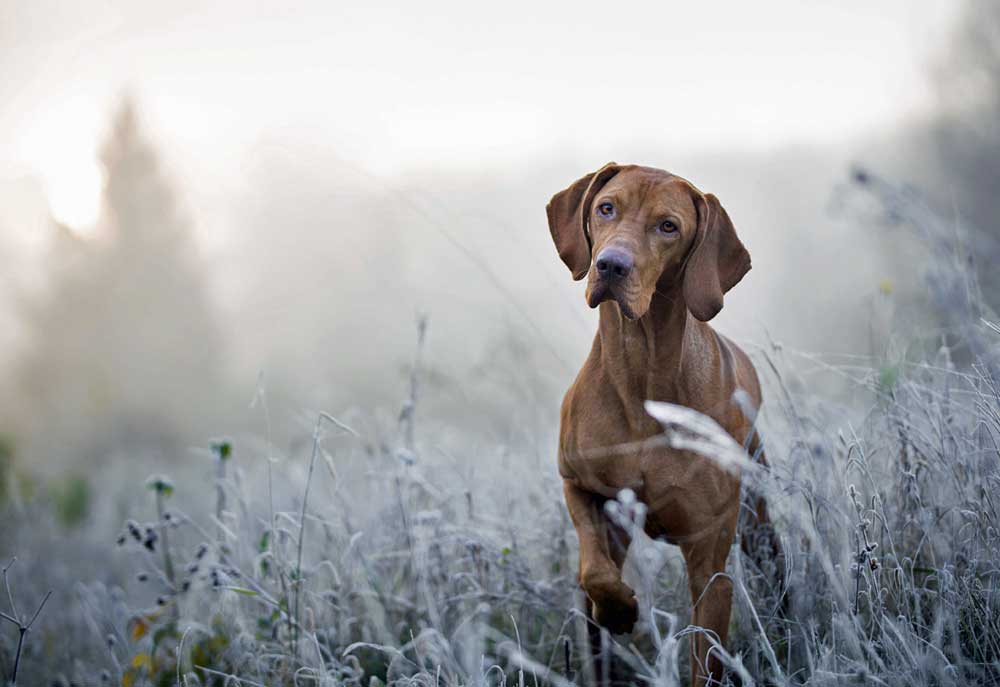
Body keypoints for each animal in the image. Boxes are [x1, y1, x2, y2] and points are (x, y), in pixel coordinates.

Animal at [548, 164, 780, 684]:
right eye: (606, 208)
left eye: (668, 227)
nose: (611, 265)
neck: (642, 371)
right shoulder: (578, 483)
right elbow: (595, 570)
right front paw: (619, 609)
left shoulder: (709, 564)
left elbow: (705, 658)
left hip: (758, 517)